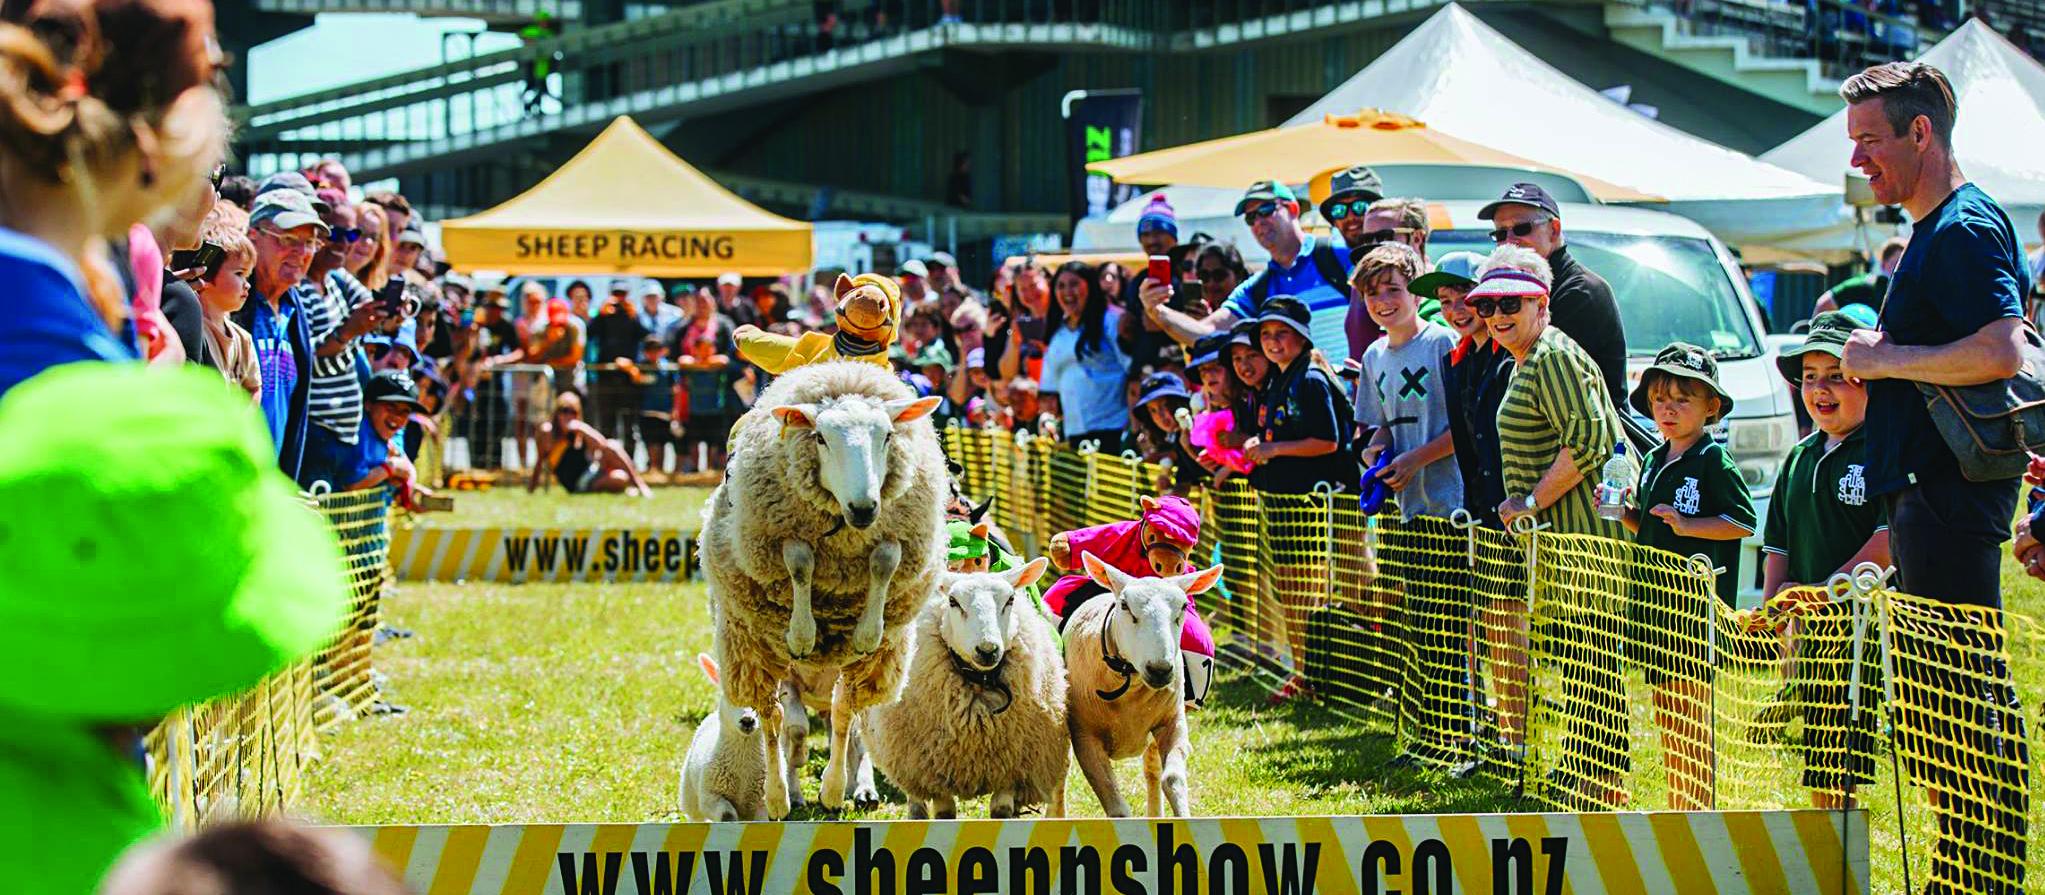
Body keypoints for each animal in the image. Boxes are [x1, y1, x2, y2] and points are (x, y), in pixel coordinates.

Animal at [699, 361, 952, 817]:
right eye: (820, 437)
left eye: (888, 435)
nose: (864, 507)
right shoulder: (787, 538)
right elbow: (800, 559)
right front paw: (802, 632)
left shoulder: (893, 536)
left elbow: (885, 558)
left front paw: (869, 628)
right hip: (754, 650)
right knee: (773, 720)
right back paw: (779, 795)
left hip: (864, 666)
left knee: (845, 716)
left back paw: (839, 790)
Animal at [862, 559, 1071, 817]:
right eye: (953, 601)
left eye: (1010, 599)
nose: (987, 650)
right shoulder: (934, 773)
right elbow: (944, 815)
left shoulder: (1010, 768)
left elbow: (1001, 811)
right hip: (906, 758)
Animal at [1063, 547, 1218, 813]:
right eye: (1125, 606)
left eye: (1183, 607)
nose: (1160, 670)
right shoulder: (1085, 737)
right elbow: (1117, 807)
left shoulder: (1172, 723)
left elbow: (1172, 779)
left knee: (1152, 770)